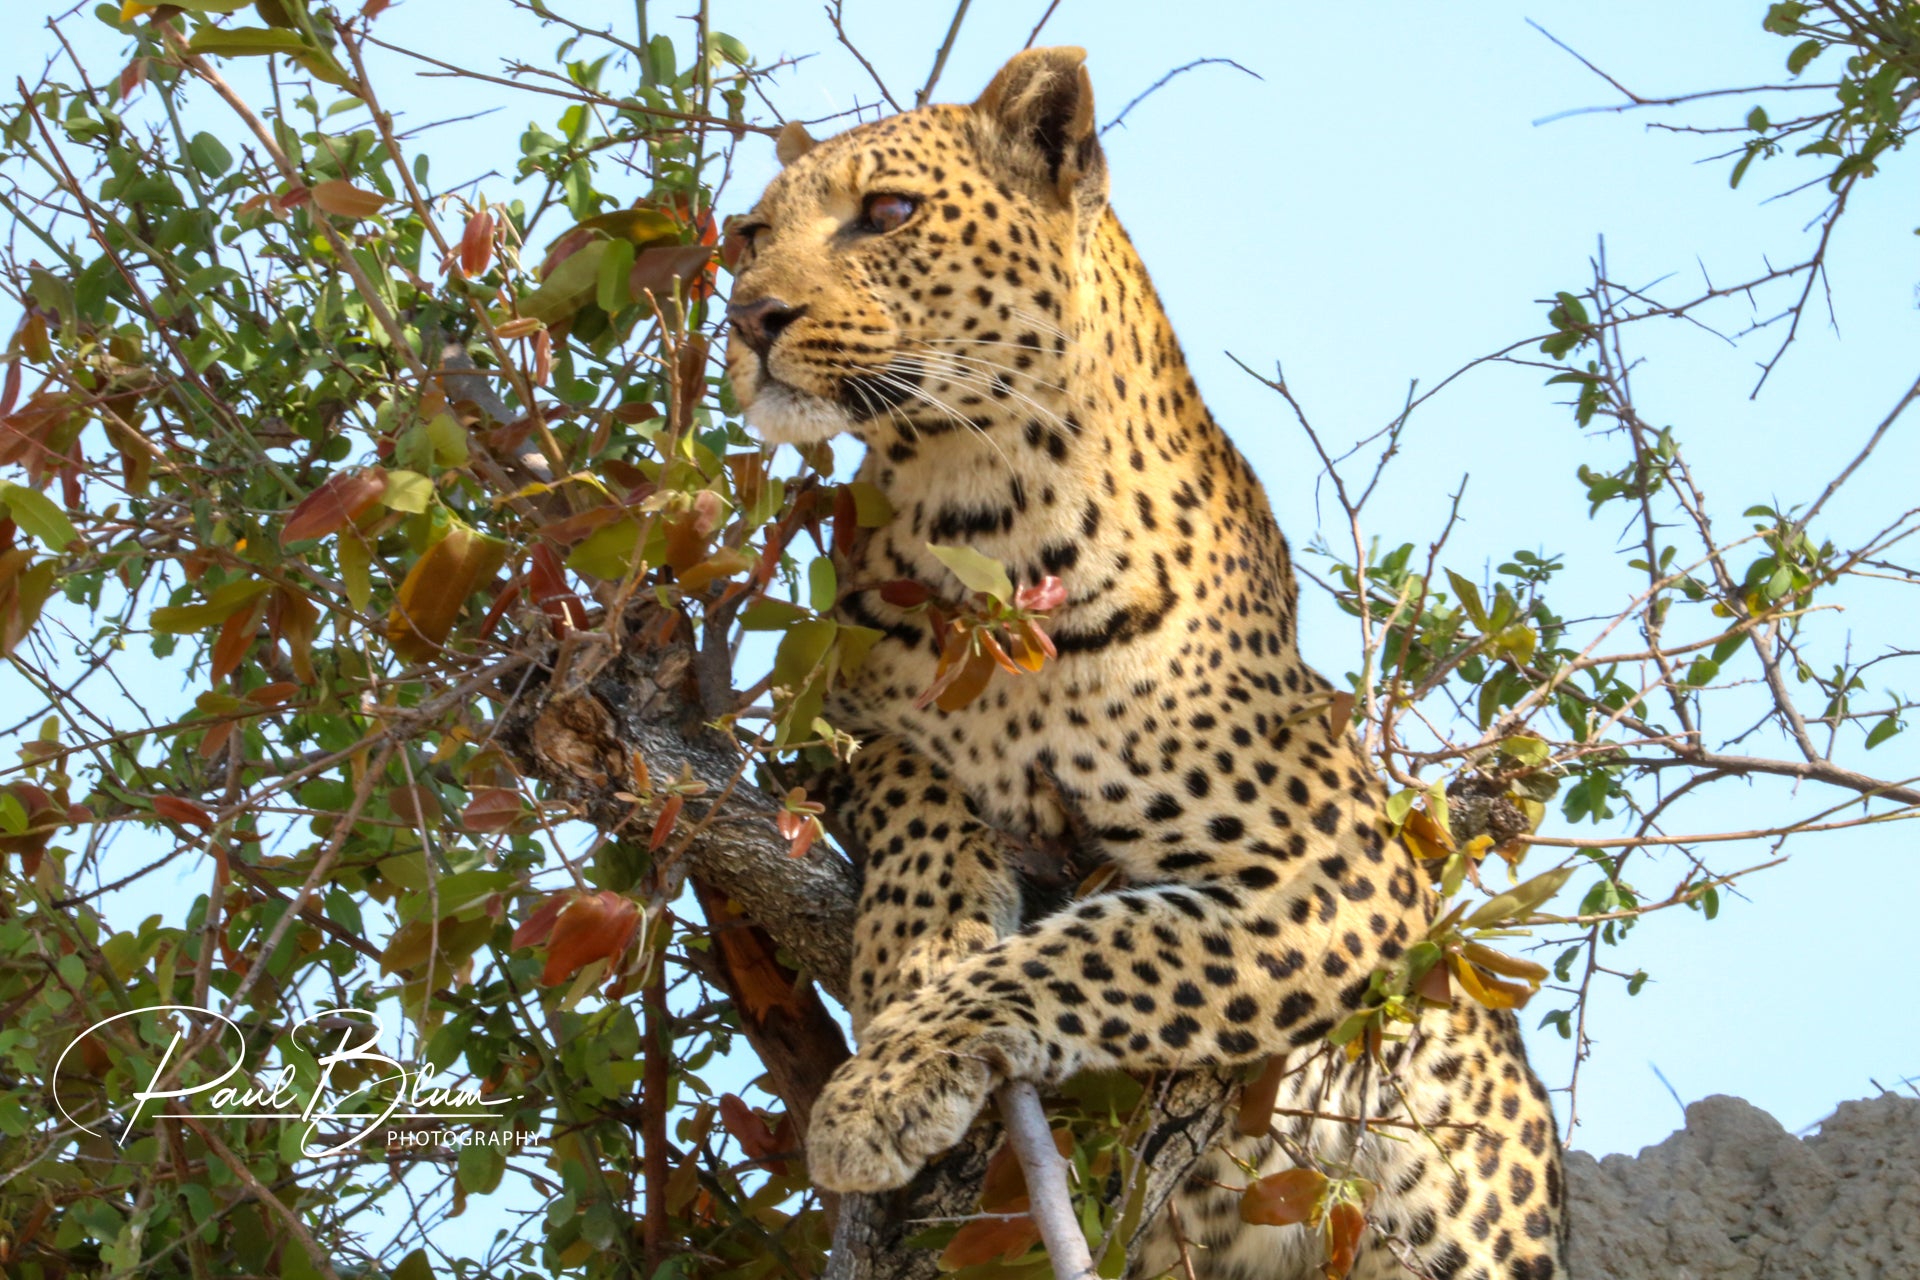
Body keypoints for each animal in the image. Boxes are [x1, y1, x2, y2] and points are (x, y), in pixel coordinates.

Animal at [721, 45, 1559, 1274]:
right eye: (747, 233)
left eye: (888, 213)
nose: (749, 315)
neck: (976, 511)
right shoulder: (839, 724)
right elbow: (913, 782)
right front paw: (914, 950)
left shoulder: (1342, 874)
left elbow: (1098, 943)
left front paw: (886, 1083)